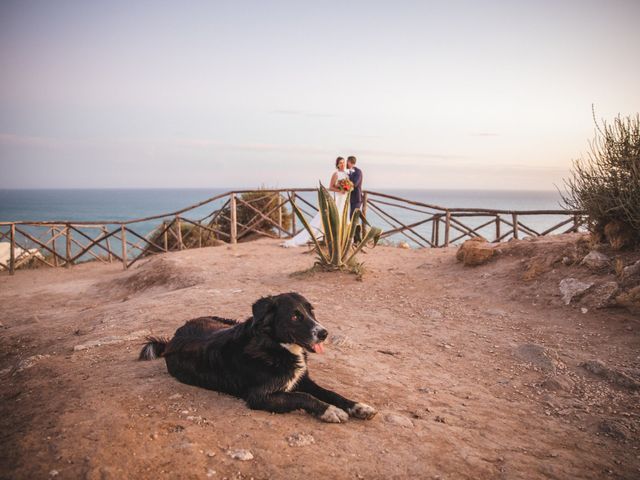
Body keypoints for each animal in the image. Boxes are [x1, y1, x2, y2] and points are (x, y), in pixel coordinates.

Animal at [138, 290, 378, 422]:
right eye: (295, 316)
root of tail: (172, 338)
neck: (275, 346)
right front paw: (330, 411)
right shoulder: (260, 397)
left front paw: (358, 407)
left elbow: (330, 392)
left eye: (311, 311)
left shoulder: (303, 380)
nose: (324, 333)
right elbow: (303, 397)